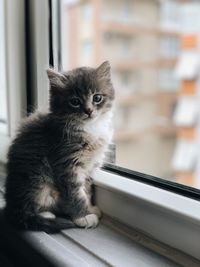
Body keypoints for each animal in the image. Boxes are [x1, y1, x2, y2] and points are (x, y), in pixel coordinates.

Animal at [3, 61, 115, 233]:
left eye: (97, 98)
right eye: (75, 102)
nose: (88, 111)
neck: (89, 129)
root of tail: (10, 205)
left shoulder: (89, 167)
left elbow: (86, 189)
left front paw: (90, 208)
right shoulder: (65, 164)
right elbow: (76, 194)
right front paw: (83, 216)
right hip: (36, 180)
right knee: (28, 207)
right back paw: (46, 215)